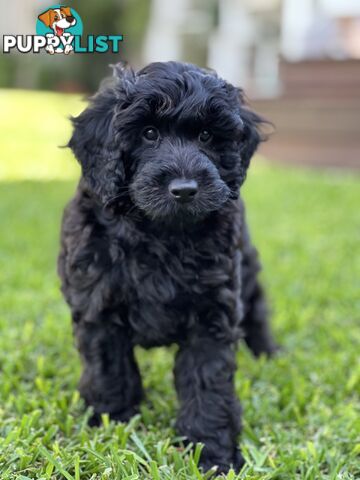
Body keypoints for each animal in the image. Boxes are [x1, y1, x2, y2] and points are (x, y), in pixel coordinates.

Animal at [59, 61, 278, 472]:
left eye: (207, 135)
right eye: (148, 133)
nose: (185, 189)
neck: (160, 231)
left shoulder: (212, 313)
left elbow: (207, 382)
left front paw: (213, 452)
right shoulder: (98, 305)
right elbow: (109, 369)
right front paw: (110, 421)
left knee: (256, 310)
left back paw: (269, 355)